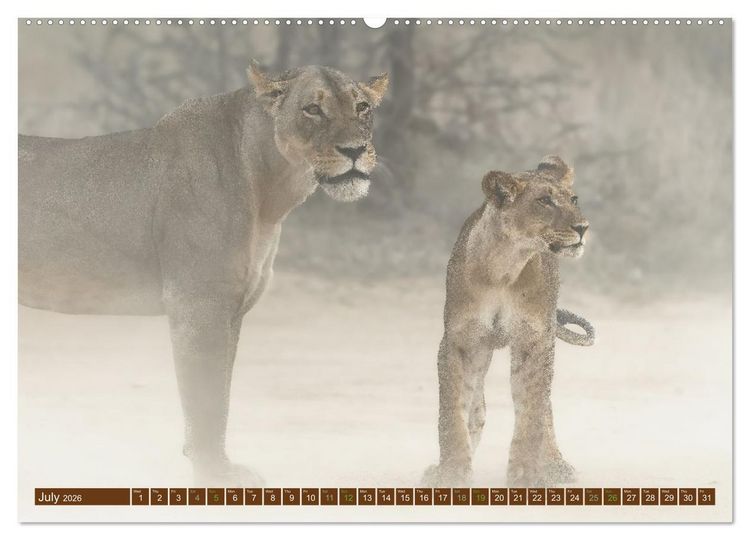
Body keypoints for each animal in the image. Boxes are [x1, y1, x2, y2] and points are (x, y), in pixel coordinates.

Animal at [19, 61, 388, 485]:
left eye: (361, 107)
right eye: (312, 109)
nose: (355, 150)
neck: (269, 192)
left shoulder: (231, 310)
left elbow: (221, 394)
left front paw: (216, 465)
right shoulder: (198, 306)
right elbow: (207, 400)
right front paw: (214, 474)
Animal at [422, 155, 595, 488]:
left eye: (574, 199)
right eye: (544, 201)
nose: (582, 227)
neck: (505, 266)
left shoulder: (535, 340)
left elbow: (532, 414)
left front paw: (527, 474)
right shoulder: (459, 341)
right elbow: (452, 411)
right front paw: (451, 473)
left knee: (544, 406)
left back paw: (556, 465)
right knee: (477, 407)